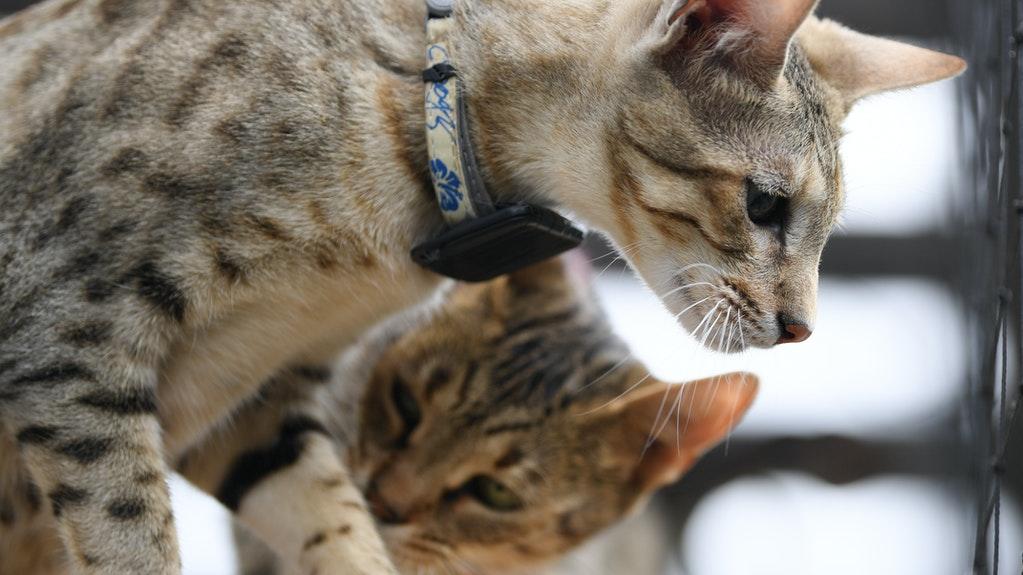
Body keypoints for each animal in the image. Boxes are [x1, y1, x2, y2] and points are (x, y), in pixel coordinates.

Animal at [0, 0, 961, 568]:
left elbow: (333, 519)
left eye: (828, 228)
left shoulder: (261, 407)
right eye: (765, 205)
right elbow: (132, 536)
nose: (802, 327)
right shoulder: (69, 334)